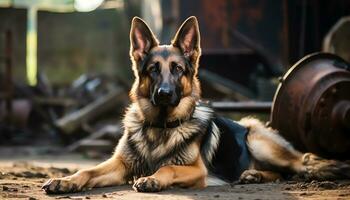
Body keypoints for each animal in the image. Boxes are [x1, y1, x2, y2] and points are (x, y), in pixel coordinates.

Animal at [43, 16, 350, 195]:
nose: (164, 94)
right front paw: (65, 181)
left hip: (257, 138)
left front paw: (153, 178)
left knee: (297, 167)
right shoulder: (120, 165)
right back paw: (252, 175)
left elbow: (167, 168)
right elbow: (88, 170)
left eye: (178, 69)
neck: (160, 127)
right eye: (153, 70)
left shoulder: (195, 170)